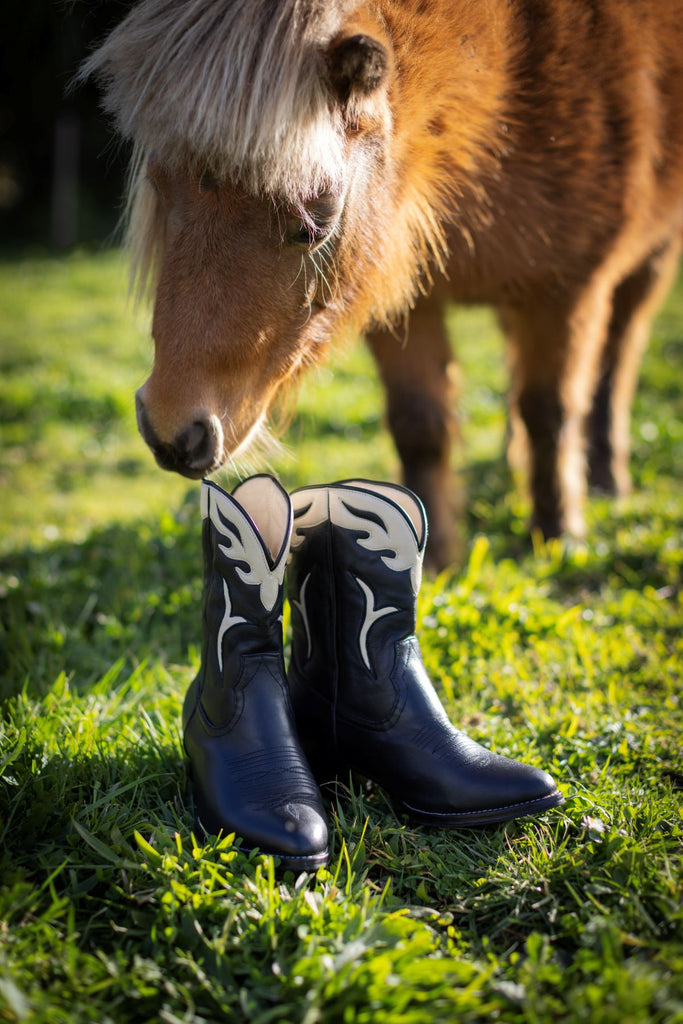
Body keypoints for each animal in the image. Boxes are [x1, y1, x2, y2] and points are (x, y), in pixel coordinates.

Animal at [84, 0, 683, 570]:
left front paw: (557, 537)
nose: (173, 432)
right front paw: (429, 557)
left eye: (315, 223)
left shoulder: (566, 289)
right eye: (160, 186)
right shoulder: (402, 304)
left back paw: (605, 479)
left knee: (614, 364)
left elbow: (550, 411)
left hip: (647, 266)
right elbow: (421, 424)